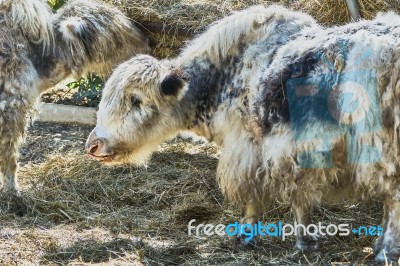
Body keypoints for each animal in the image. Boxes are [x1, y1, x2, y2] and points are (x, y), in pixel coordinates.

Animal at [86, 4, 400, 264]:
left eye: (135, 99)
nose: (93, 145)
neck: (226, 75)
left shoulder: (250, 149)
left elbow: (255, 196)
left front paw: (249, 235)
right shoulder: (289, 155)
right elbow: (300, 198)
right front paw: (306, 242)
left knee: (393, 197)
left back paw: (384, 251)